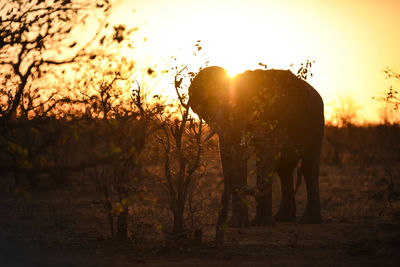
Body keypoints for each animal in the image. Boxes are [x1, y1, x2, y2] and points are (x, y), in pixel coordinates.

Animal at [188, 66, 324, 228]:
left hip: (317, 124)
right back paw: (283, 218)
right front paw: (239, 225)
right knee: (284, 170)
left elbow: (265, 152)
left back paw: (309, 221)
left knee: (309, 167)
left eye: (243, 104)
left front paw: (259, 224)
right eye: (209, 103)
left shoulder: (271, 116)